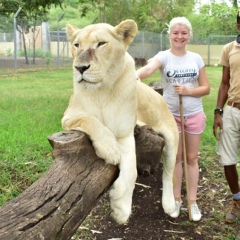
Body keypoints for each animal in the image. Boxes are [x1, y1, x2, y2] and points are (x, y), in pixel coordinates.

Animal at [61, 19, 178, 224]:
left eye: (101, 44)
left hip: (172, 138)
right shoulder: (68, 118)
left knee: (169, 174)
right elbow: (89, 119)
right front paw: (109, 149)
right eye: (76, 45)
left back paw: (170, 205)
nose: (80, 68)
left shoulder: (125, 132)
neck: (101, 90)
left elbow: (132, 171)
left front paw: (119, 208)